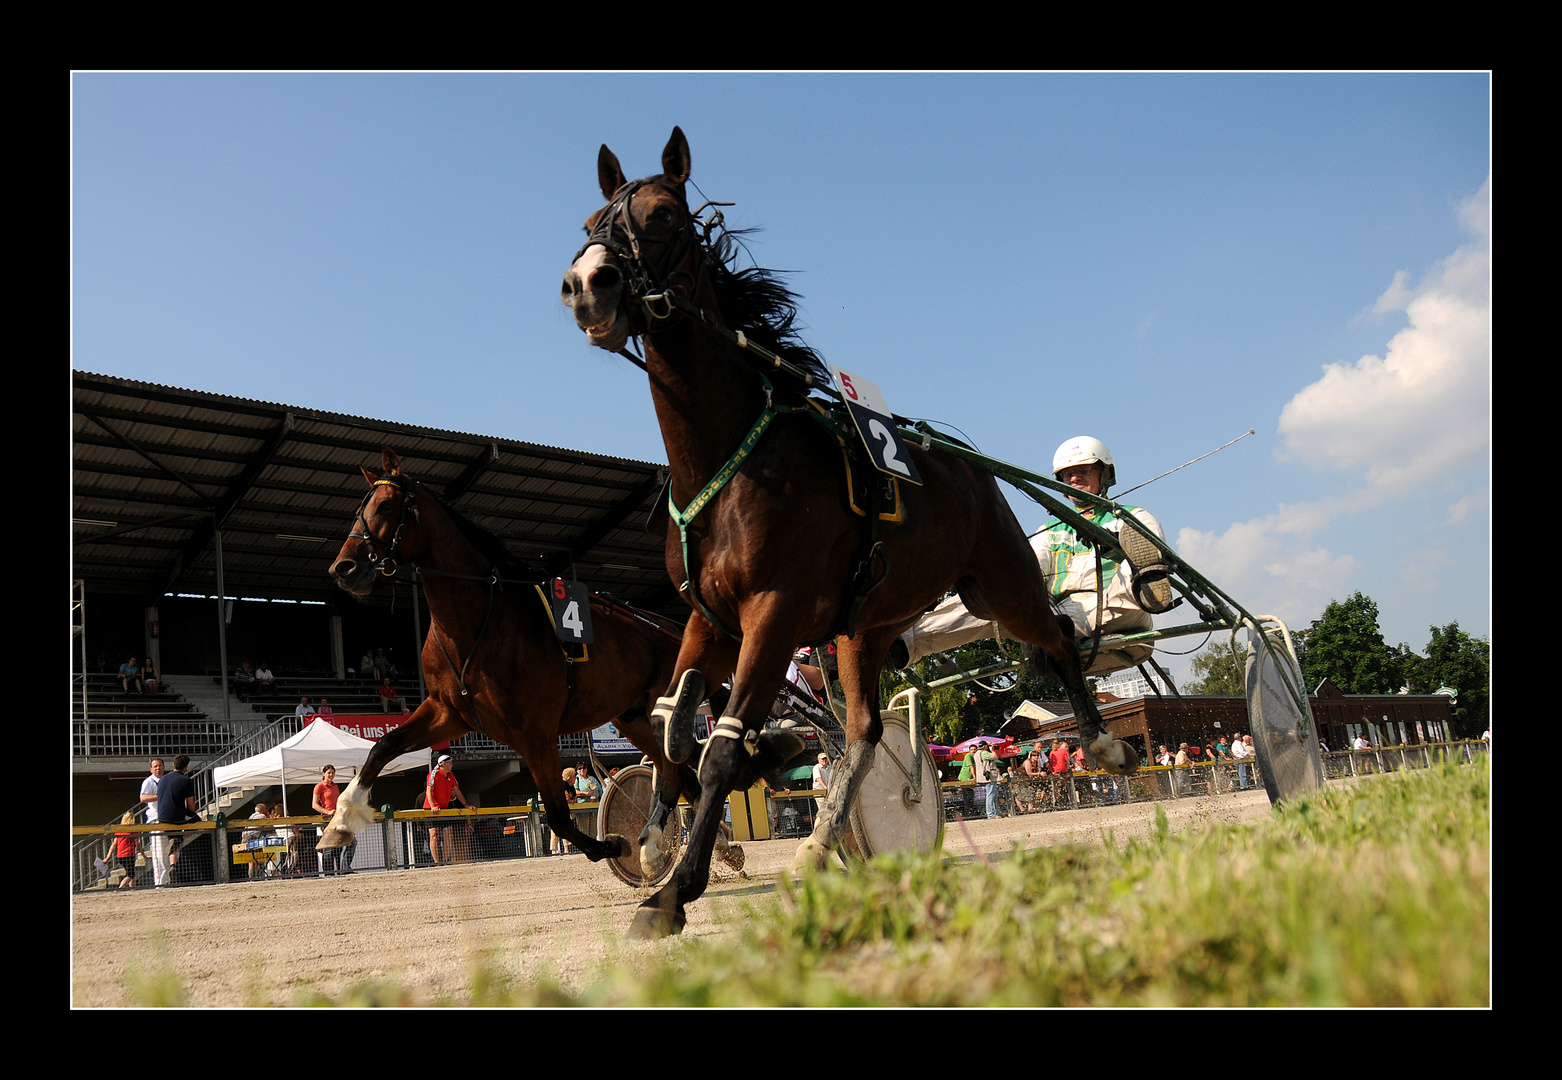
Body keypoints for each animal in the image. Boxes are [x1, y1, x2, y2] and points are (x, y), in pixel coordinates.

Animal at [562, 126, 1137, 937]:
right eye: (590, 223)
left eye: (666, 214)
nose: (590, 282)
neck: (731, 458)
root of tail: (965, 463)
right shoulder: (708, 618)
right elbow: (675, 725)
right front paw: (674, 833)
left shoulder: (772, 614)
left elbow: (719, 752)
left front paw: (674, 892)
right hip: (868, 626)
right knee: (864, 729)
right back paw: (819, 843)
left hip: (998, 583)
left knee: (1055, 637)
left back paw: (1102, 741)